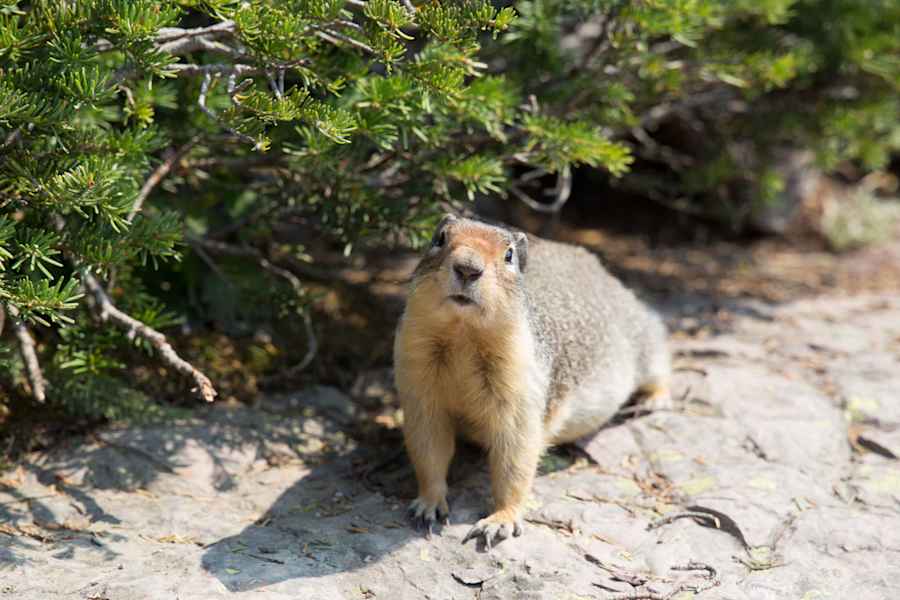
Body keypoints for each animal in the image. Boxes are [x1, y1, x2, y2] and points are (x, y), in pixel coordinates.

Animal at [393, 214, 671, 548]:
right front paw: (428, 505)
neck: (462, 335)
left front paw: (499, 521)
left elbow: (515, 457)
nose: (468, 268)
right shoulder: (418, 382)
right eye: (440, 238)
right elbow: (428, 448)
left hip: (643, 339)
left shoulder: (519, 389)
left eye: (509, 255)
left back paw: (653, 400)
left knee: (660, 361)